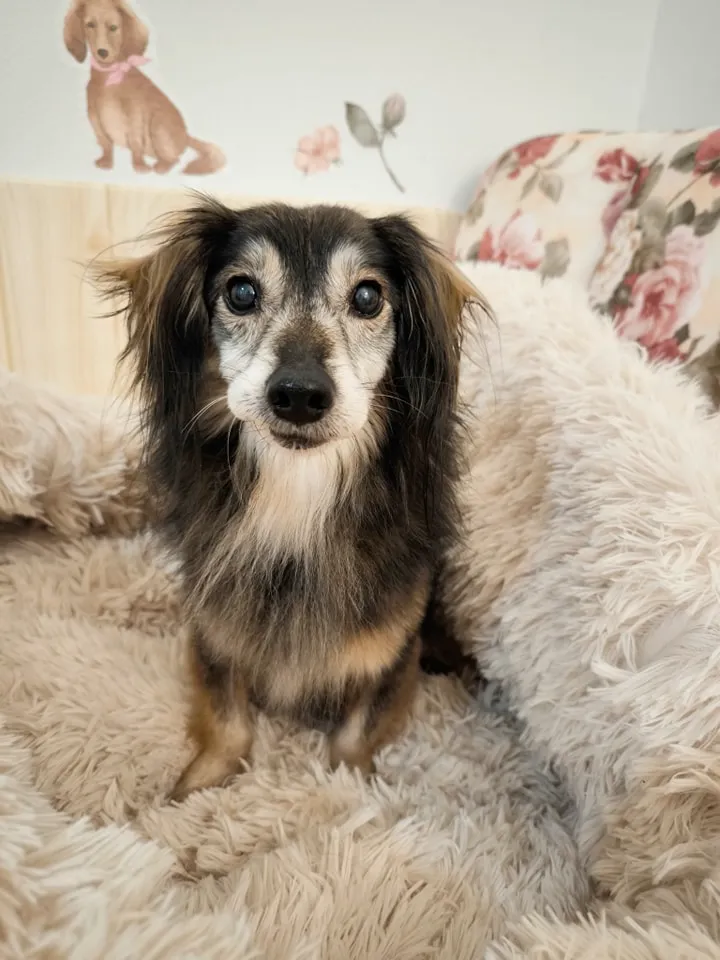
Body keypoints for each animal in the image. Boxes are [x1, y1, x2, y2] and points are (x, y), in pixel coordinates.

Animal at [64, 0, 225, 175]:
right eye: (90, 25)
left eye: (113, 27)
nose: (102, 52)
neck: (111, 77)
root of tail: (186, 136)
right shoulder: (94, 116)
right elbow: (105, 142)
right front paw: (106, 161)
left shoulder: (135, 115)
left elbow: (135, 142)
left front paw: (139, 165)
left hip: (158, 125)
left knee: (174, 158)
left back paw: (162, 166)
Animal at [96, 197, 483, 800]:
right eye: (241, 292)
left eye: (368, 297)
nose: (300, 394)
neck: (298, 487)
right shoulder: (214, 629)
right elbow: (227, 719)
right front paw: (195, 788)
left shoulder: (393, 652)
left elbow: (355, 733)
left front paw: (352, 786)